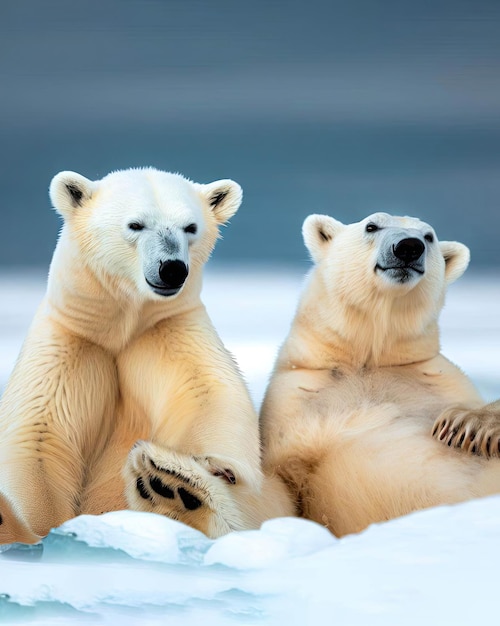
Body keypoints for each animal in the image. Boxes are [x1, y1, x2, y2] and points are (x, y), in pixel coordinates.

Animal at [0, 166, 292, 540]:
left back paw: (173, 489)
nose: (172, 268)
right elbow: (36, 440)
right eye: (136, 224)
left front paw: (199, 473)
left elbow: (209, 399)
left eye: (190, 227)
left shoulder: (165, 333)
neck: (121, 326)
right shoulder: (70, 347)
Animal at [260, 212, 500, 532]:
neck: (368, 359)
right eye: (371, 226)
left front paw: (467, 425)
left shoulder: (444, 381)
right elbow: (279, 491)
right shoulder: (292, 405)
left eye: (429, 236)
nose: (409, 247)